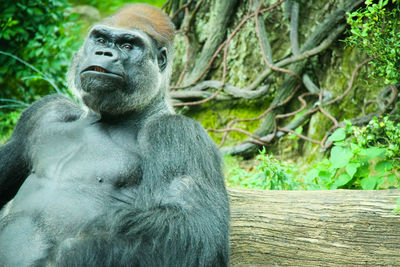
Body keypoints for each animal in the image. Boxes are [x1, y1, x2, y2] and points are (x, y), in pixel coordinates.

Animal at [0, 4, 230, 267]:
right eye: (100, 40)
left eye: (128, 45)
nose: (103, 52)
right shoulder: (45, 113)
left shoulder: (177, 132)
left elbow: (190, 226)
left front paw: (60, 259)